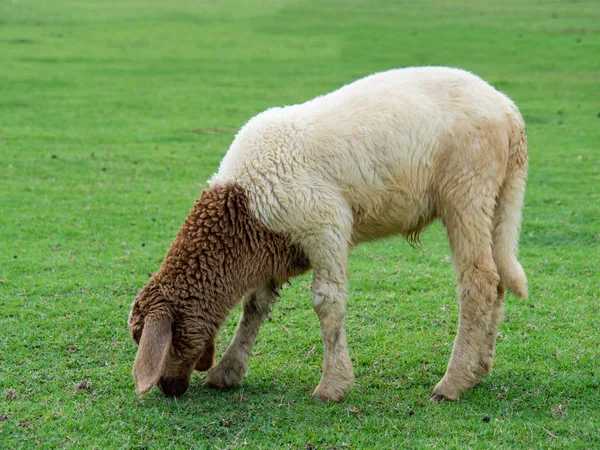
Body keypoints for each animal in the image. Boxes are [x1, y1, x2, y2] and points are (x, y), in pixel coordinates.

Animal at [126, 66, 524, 400]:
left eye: (149, 338)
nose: (167, 389)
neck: (244, 209)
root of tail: (509, 113)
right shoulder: (272, 248)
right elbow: (254, 307)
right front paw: (228, 371)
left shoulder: (326, 225)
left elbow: (326, 302)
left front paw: (332, 386)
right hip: (496, 198)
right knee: (499, 280)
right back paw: (478, 370)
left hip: (466, 190)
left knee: (479, 281)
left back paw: (452, 383)